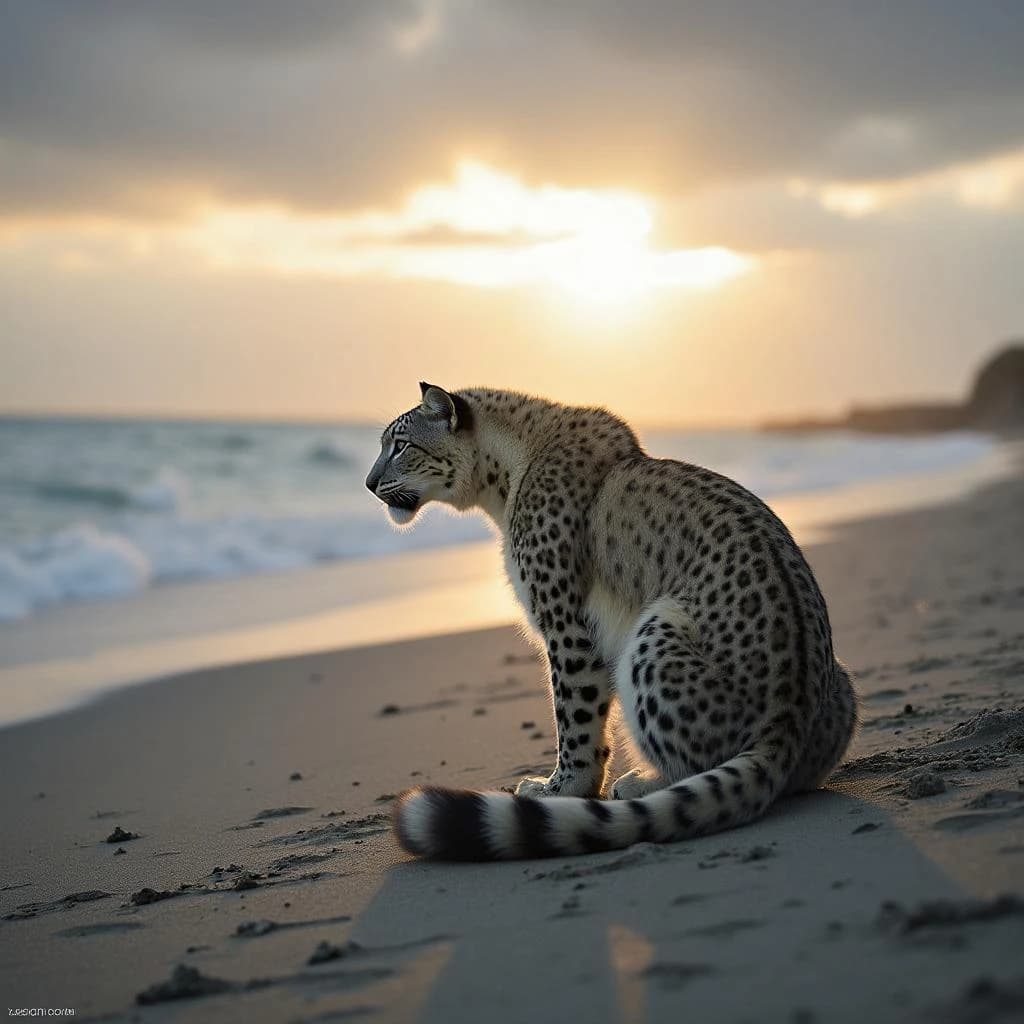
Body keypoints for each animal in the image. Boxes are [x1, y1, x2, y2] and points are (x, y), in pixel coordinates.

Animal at [365, 383, 858, 860]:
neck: (503, 474)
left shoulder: (567, 627)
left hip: (655, 627)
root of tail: (788, 720)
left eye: (401, 444)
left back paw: (641, 783)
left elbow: (575, 715)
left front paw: (562, 789)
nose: (369, 483)